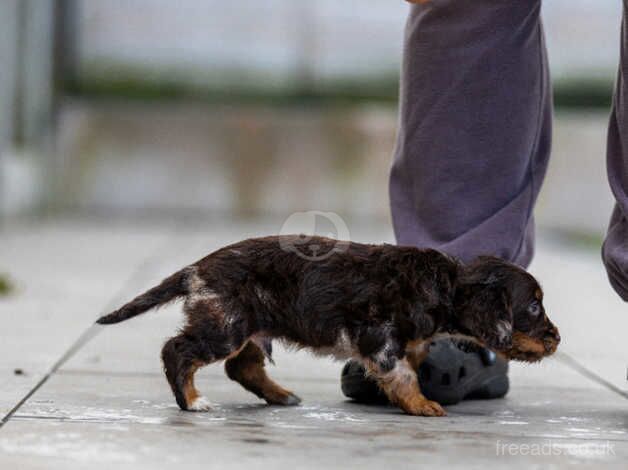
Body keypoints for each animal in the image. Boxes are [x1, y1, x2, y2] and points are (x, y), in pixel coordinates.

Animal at [97, 237, 560, 416]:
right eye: (534, 305)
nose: (557, 339)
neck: (445, 284)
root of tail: (196, 268)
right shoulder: (379, 337)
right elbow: (404, 374)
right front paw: (421, 404)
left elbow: (413, 360)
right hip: (225, 325)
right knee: (176, 351)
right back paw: (191, 401)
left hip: (250, 327)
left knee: (241, 367)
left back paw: (280, 395)